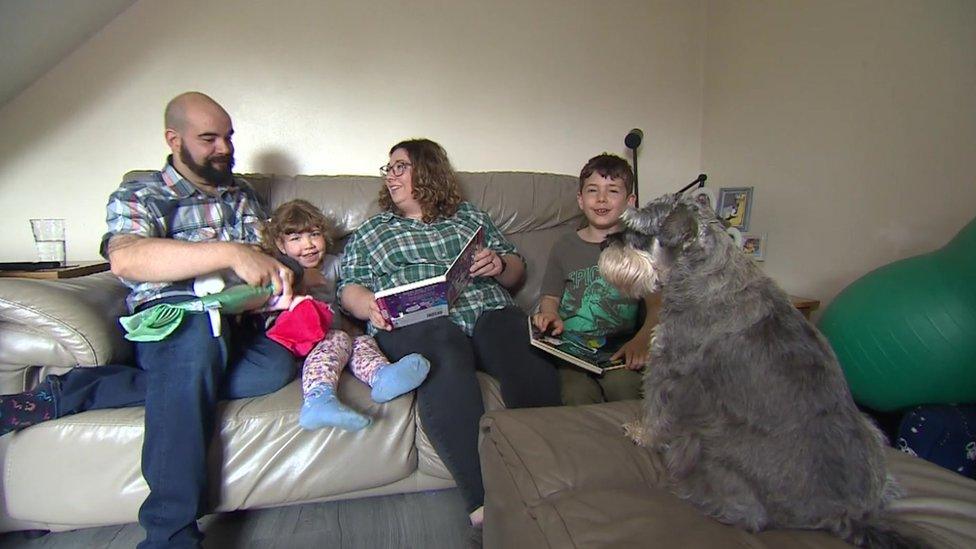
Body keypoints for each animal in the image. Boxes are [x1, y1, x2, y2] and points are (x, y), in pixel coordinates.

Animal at [596, 194, 924, 548]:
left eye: (639, 230)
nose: (605, 243)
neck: (704, 272)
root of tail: (851, 515)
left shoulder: (668, 367)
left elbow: (657, 408)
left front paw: (642, 433)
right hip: (873, 429)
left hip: (709, 453)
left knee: (743, 513)